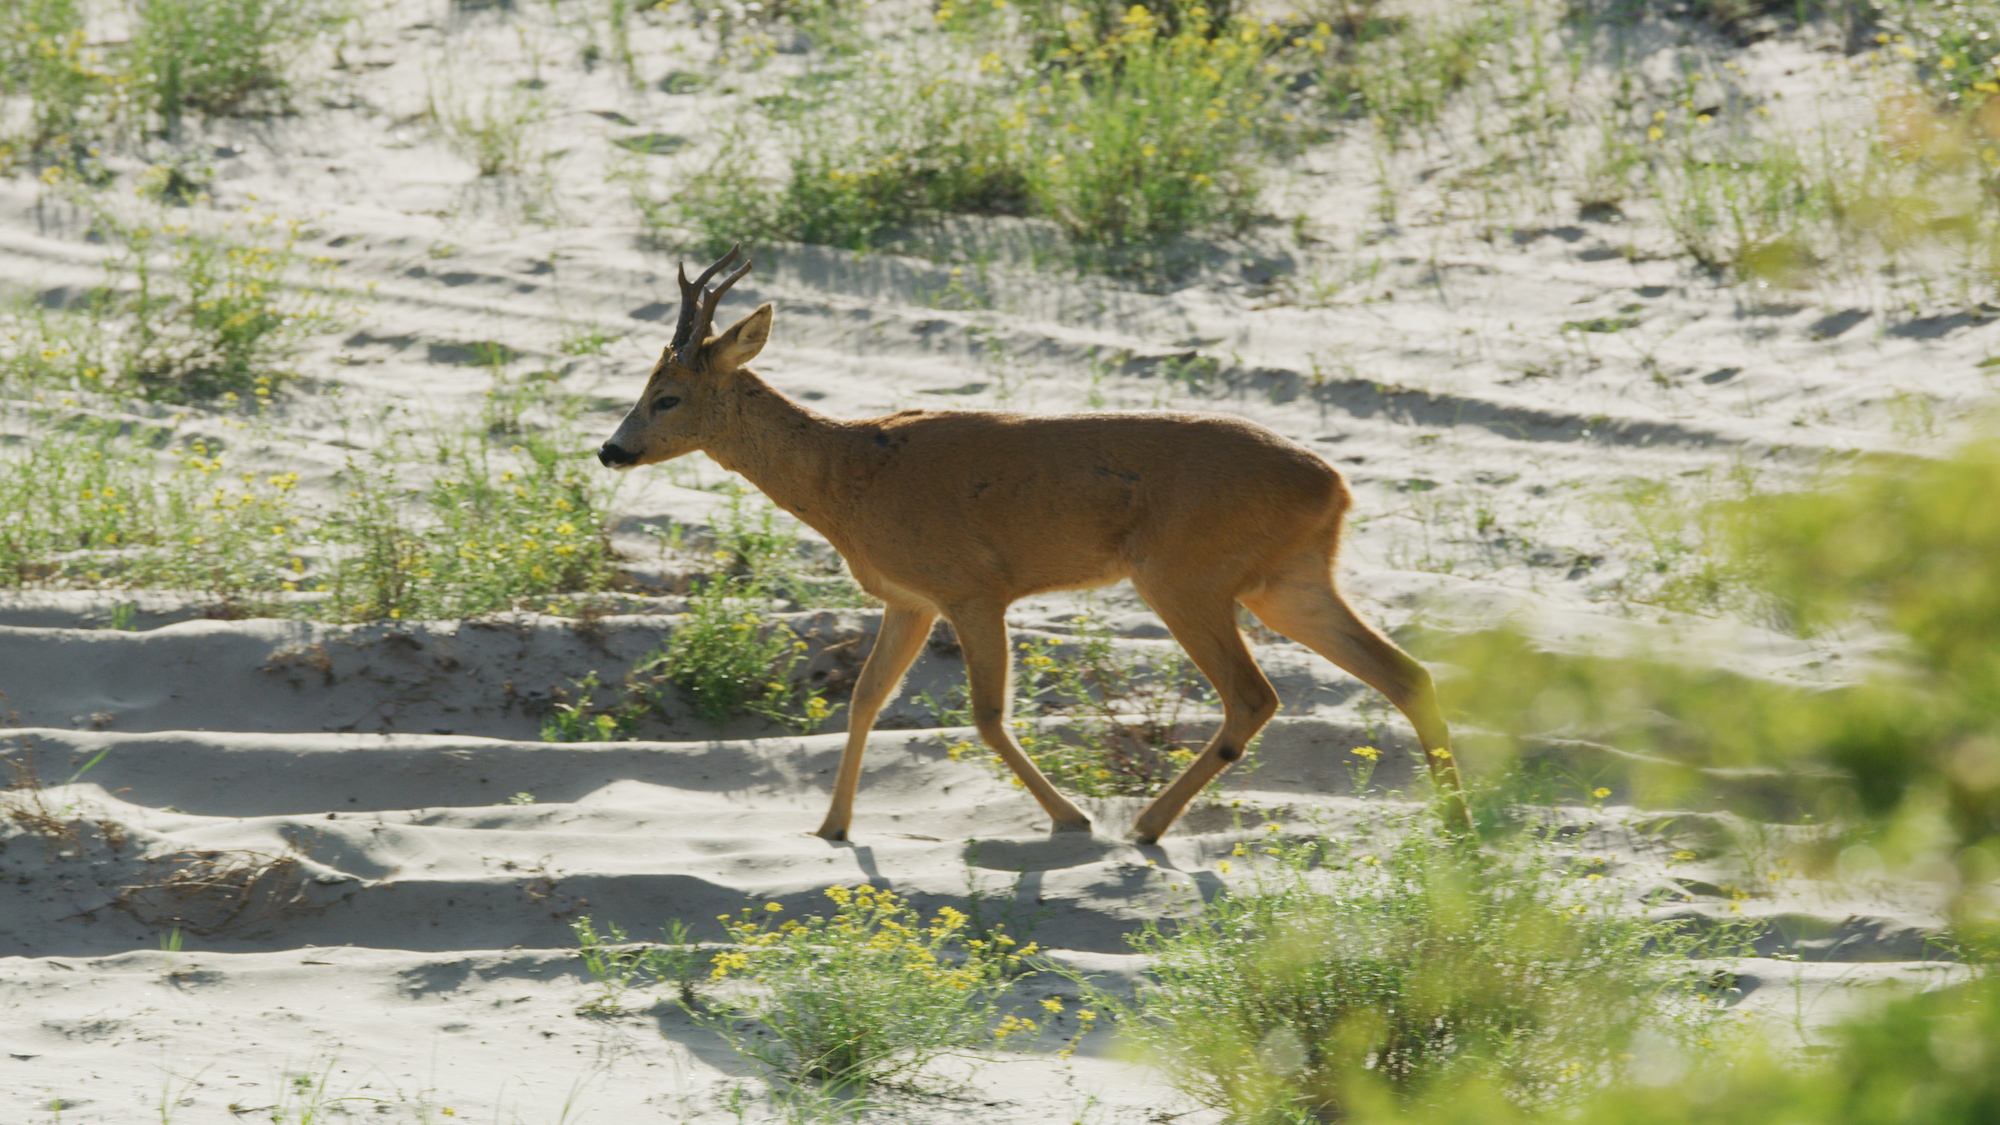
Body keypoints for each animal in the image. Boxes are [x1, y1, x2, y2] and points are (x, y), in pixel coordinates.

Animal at [592, 247, 1472, 840]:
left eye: (666, 396)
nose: (611, 449)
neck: (850, 475)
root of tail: (1336, 485)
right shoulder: (911, 598)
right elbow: (866, 696)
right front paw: (832, 826)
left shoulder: (974, 587)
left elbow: (984, 714)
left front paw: (1071, 817)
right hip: (1287, 579)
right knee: (1406, 670)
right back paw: (1457, 821)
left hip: (1184, 574)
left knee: (1255, 694)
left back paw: (1144, 824)